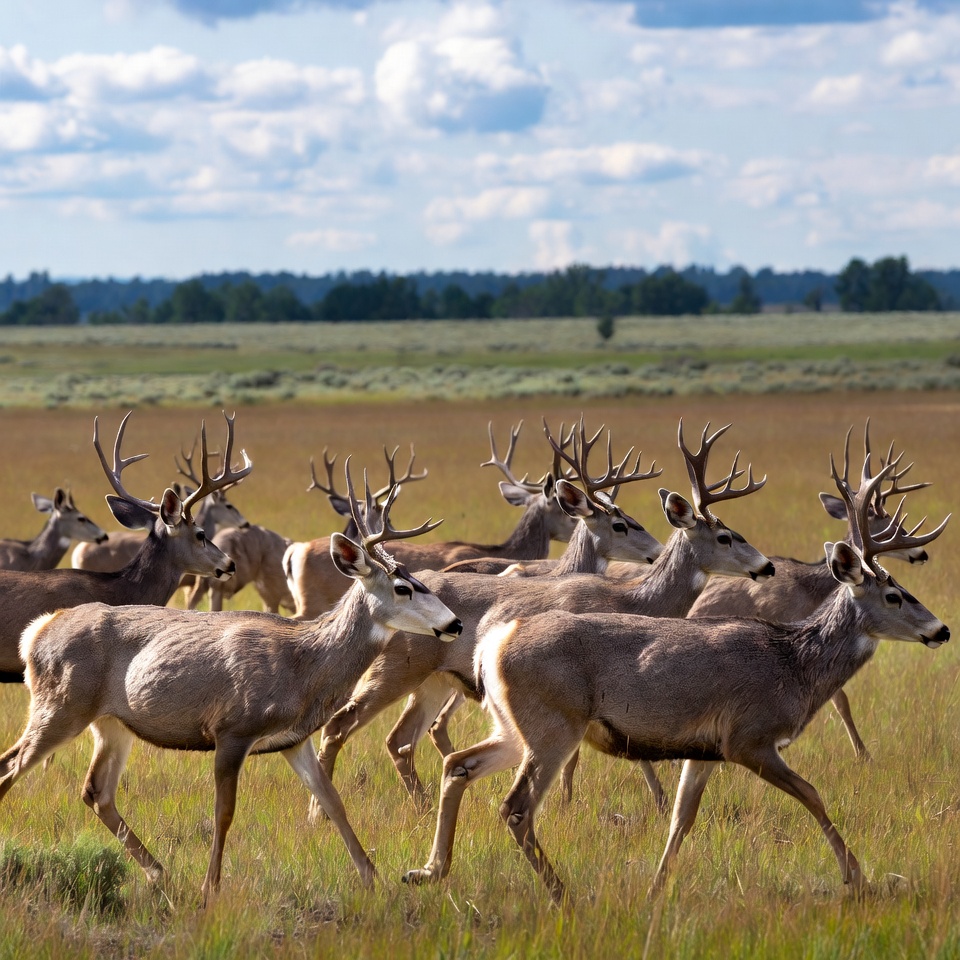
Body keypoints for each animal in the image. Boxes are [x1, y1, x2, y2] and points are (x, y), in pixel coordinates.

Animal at [0, 463, 463, 906]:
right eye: (403, 587)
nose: (455, 623)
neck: (303, 663)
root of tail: (37, 631)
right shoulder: (232, 730)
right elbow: (225, 812)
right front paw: (211, 888)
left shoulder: (294, 739)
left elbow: (334, 802)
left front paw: (374, 878)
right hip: (61, 706)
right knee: (11, 766)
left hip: (110, 723)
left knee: (96, 790)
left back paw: (159, 872)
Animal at [315, 421, 774, 814]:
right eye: (725, 536)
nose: (767, 566)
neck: (636, 601)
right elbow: (590, 754)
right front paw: (572, 804)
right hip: (395, 669)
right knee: (341, 725)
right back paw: (322, 812)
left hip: (434, 680)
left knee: (400, 740)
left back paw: (423, 804)